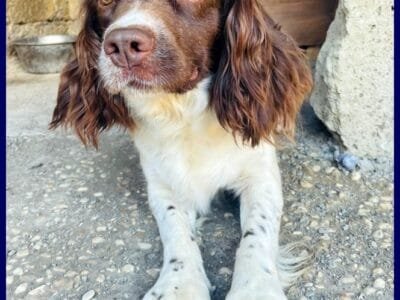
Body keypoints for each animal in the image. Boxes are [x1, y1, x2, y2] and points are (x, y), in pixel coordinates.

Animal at [49, 0, 312, 298]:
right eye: (104, 2)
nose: (123, 44)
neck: (183, 113)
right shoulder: (163, 186)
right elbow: (176, 230)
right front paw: (179, 284)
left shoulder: (261, 177)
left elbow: (257, 232)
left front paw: (255, 287)